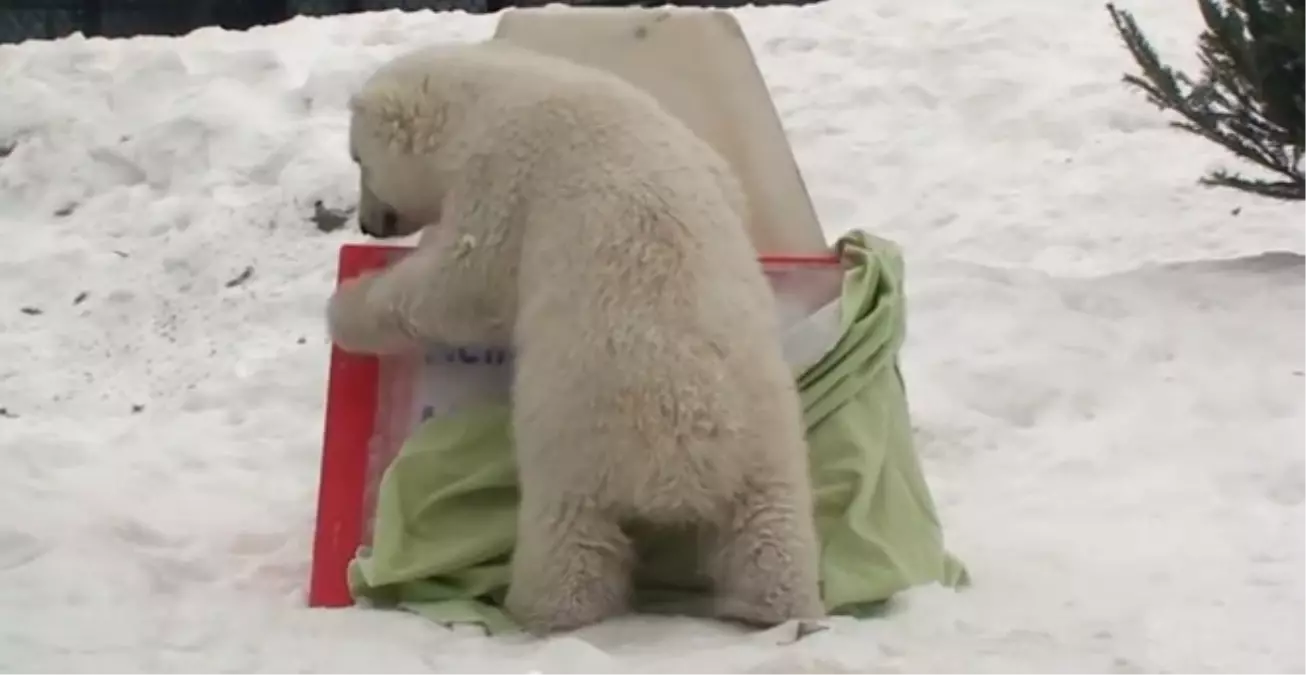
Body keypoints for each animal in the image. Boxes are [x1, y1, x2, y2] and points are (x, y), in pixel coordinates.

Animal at [326, 40, 820, 631]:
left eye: (358, 158)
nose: (367, 224)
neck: (497, 91)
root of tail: (681, 466)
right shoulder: (707, 158)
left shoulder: (503, 172)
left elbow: (465, 283)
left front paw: (345, 307)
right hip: (767, 447)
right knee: (769, 534)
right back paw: (777, 611)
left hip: (578, 448)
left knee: (569, 542)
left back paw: (538, 611)